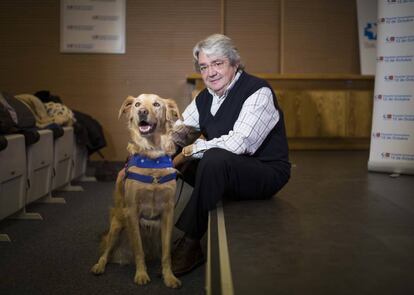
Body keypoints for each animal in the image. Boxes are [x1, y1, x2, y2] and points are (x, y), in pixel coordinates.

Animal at [91, 94, 182, 290]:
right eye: (137, 104)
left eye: (156, 104)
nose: (142, 112)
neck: (152, 159)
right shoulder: (132, 211)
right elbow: (138, 249)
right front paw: (141, 274)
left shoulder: (168, 213)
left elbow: (166, 253)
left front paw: (169, 276)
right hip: (116, 226)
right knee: (106, 252)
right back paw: (99, 266)